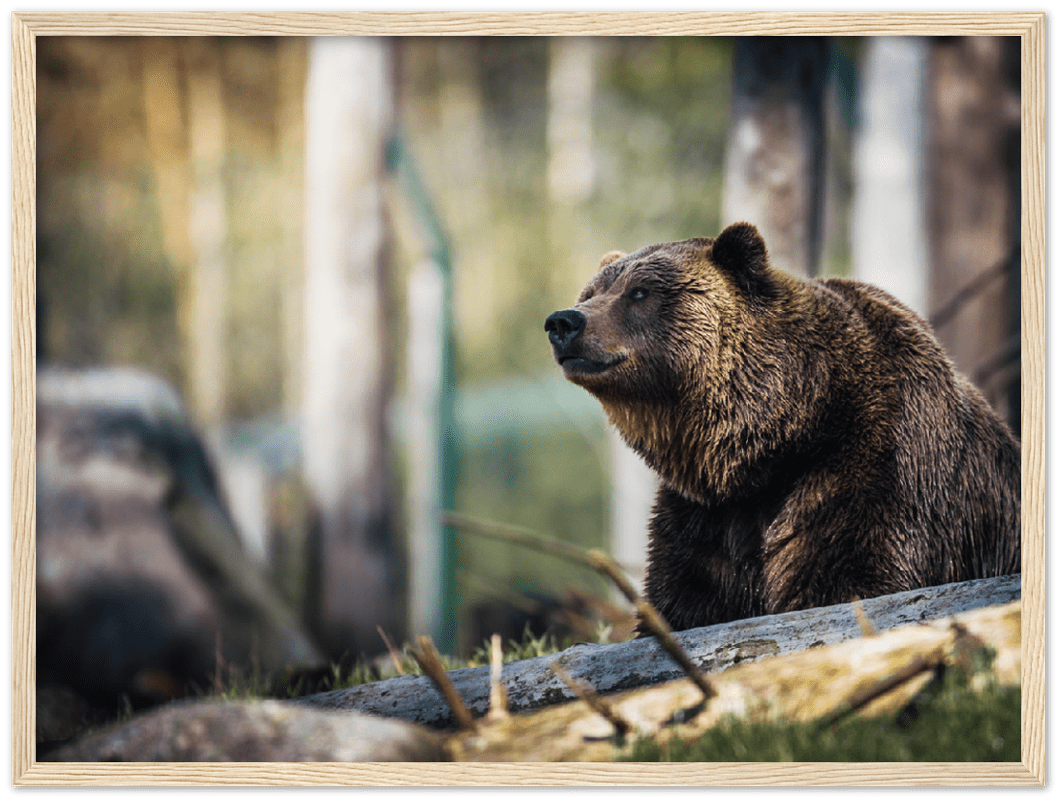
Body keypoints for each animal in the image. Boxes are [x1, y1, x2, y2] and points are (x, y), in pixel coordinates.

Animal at [544, 221, 1020, 633]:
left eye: (639, 292)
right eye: (591, 291)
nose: (564, 321)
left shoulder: (876, 468)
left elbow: (851, 577)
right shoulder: (706, 516)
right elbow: (684, 598)